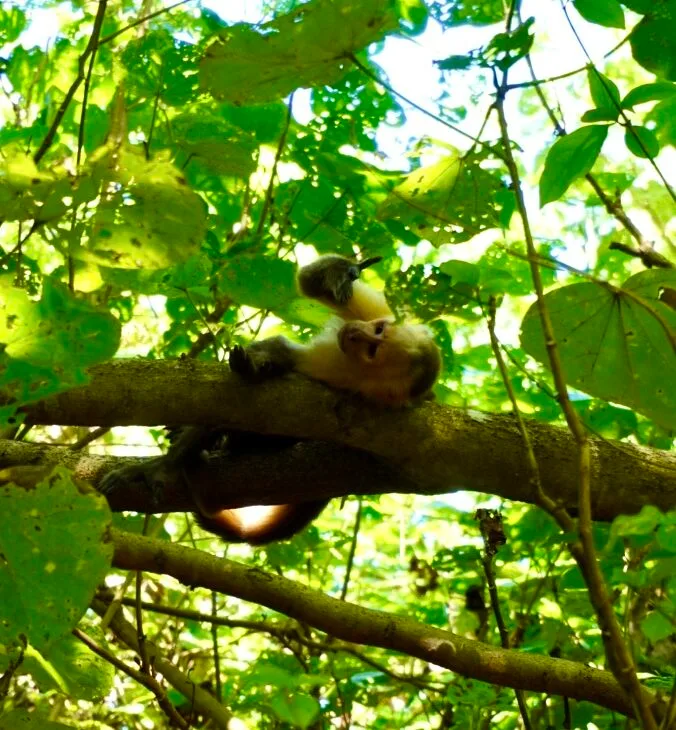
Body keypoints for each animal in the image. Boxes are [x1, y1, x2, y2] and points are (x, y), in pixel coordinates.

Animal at [100, 254, 441, 544]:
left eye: (374, 349)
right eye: (378, 330)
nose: (355, 334)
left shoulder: (351, 384)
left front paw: (164, 466)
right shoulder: (378, 315)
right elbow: (308, 285)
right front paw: (343, 273)